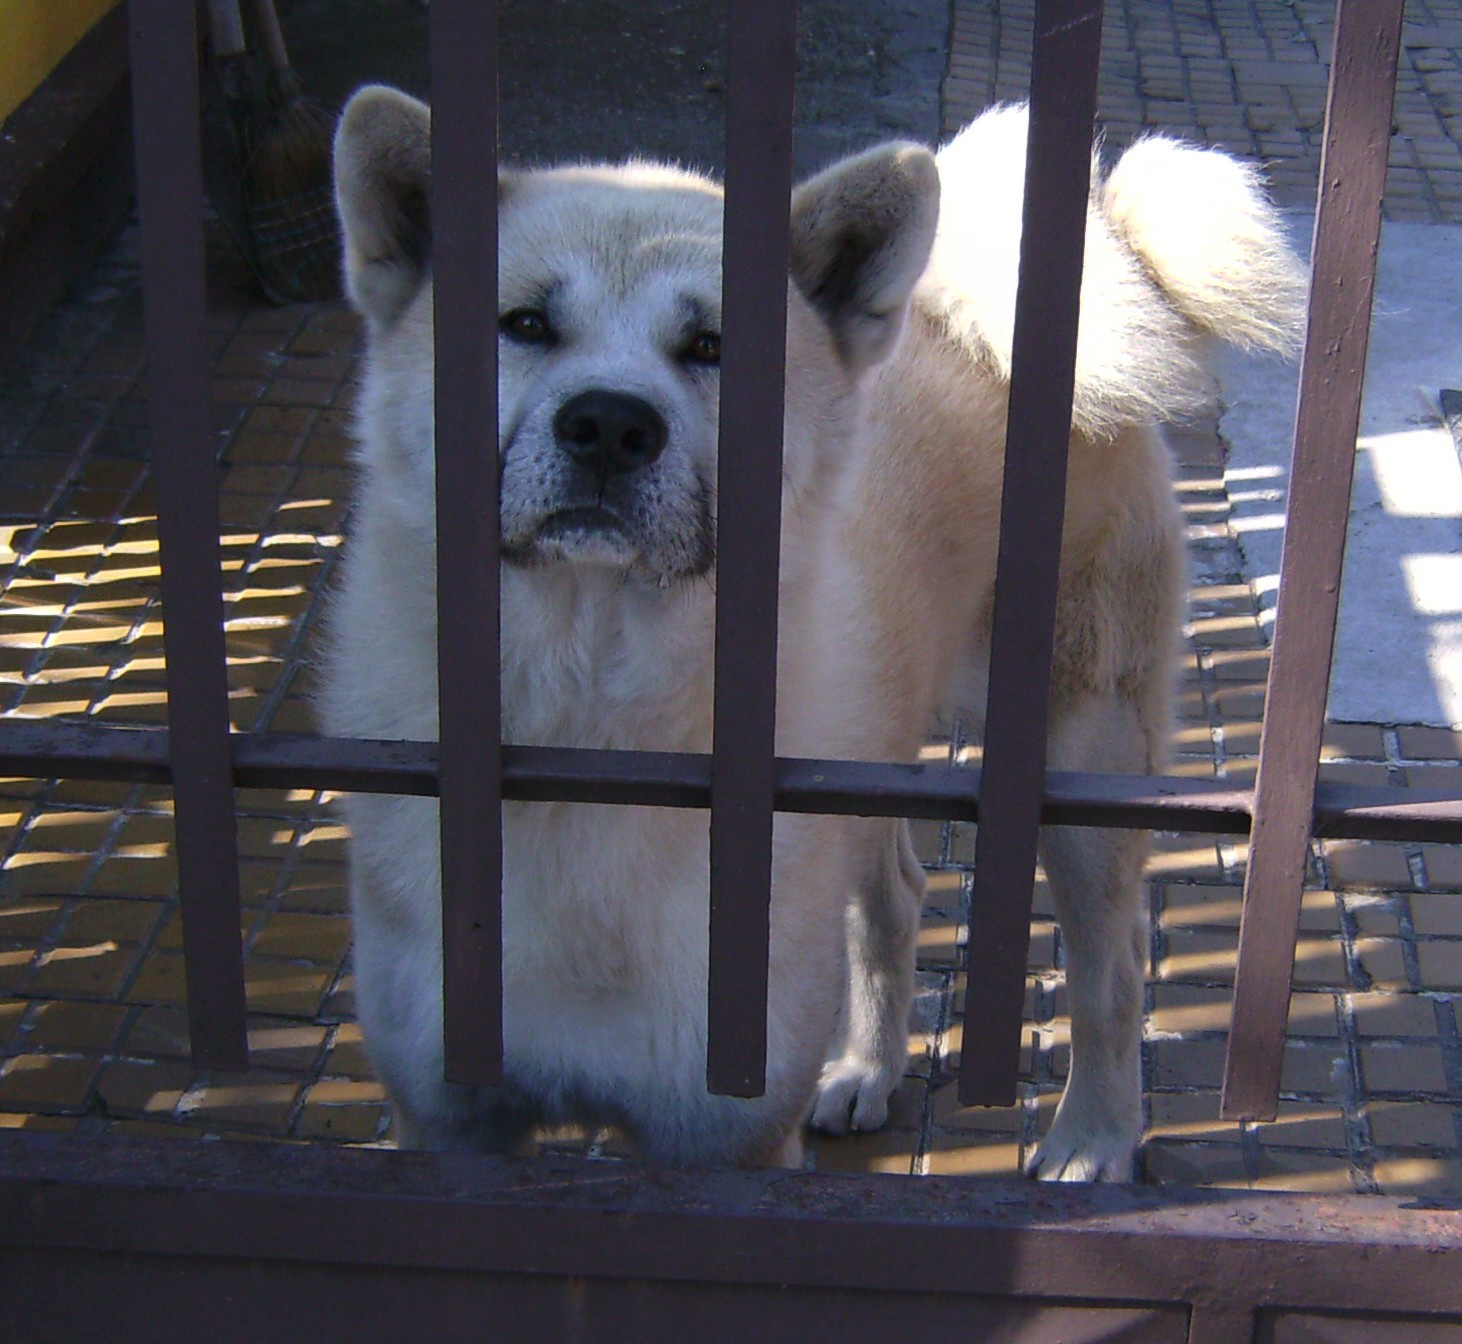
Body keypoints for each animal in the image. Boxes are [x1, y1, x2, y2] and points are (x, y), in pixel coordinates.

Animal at [323, 86, 1304, 1175]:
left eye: (712, 348)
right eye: (526, 323)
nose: (609, 425)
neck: (588, 729)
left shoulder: (728, 1141)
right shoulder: (448, 1127)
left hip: (1081, 758)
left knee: (1112, 966)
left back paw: (1092, 1133)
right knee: (895, 897)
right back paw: (865, 1070)